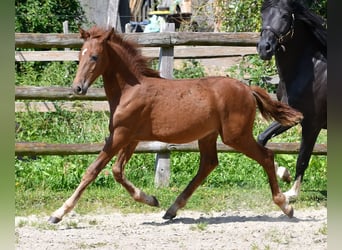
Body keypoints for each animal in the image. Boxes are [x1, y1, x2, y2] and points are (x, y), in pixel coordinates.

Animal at [48, 26, 302, 224]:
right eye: (80, 56)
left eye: (94, 57)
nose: (78, 88)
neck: (130, 90)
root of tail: (247, 88)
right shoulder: (132, 137)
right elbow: (117, 171)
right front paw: (151, 199)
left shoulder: (120, 134)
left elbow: (92, 170)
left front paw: (58, 214)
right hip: (208, 135)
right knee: (208, 164)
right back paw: (171, 209)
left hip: (235, 136)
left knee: (266, 156)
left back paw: (286, 204)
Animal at [256, 0, 326, 200]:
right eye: (263, 15)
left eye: (285, 16)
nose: (264, 48)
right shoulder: (292, 115)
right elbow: (262, 138)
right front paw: (283, 173)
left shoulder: (312, 124)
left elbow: (303, 158)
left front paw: (291, 194)